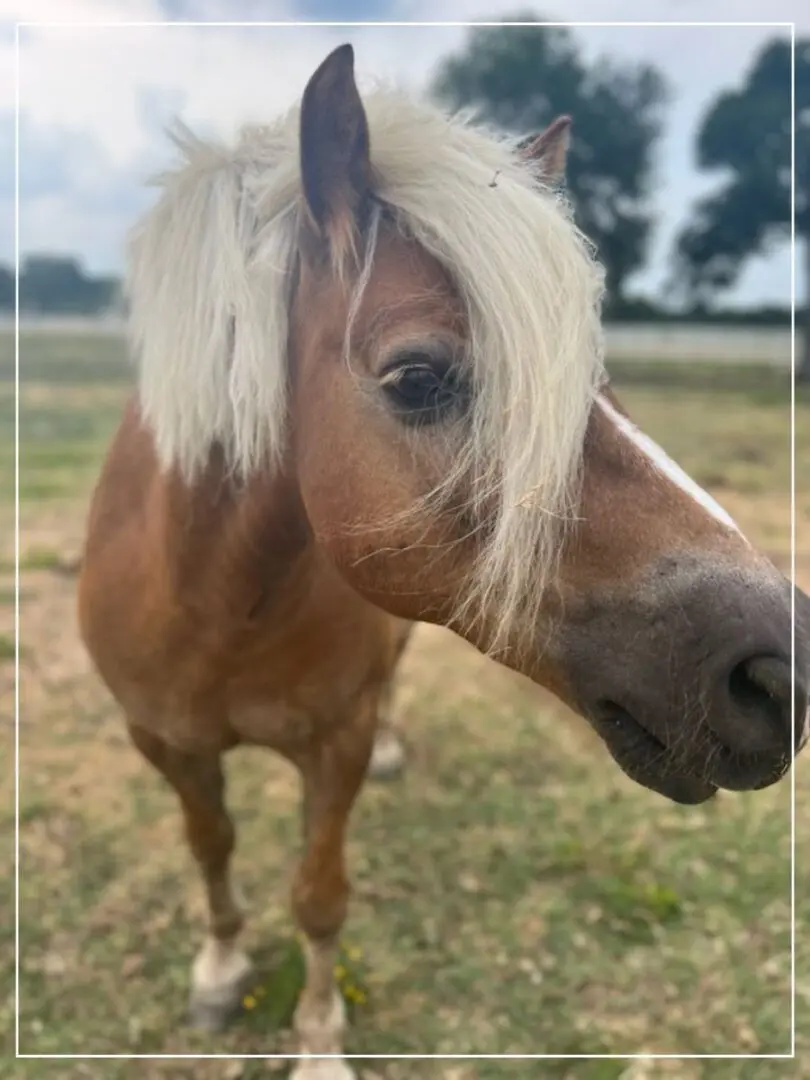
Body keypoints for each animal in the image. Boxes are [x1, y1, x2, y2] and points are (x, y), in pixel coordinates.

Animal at [77, 44, 810, 1080]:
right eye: (417, 378)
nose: (782, 670)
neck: (210, 602)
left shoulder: (334, 745)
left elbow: (319, 895)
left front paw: (319, 1044)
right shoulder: (165, 741)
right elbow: (210, 844)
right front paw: (219, 970)